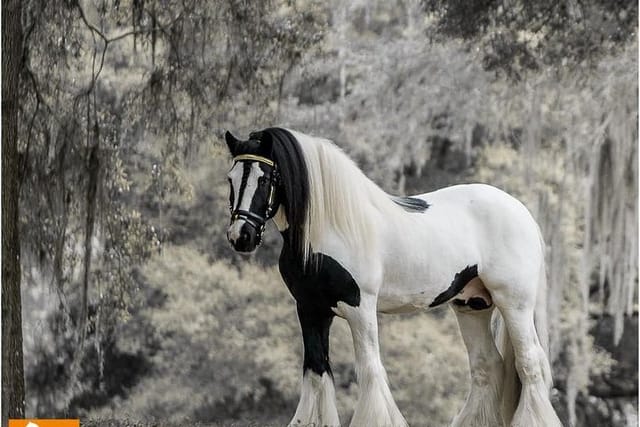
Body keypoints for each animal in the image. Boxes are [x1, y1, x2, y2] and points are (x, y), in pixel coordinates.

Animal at [224, 128, 560, 427]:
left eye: (265, 178)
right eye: (230, 178)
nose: (241, 236)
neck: (331, 228)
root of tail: (522, 212)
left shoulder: (360, 308)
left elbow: (369, 368)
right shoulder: (310, 309)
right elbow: (316, 371)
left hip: (514, 303)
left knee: (530, 362)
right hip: (472, 305)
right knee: (487, 367)